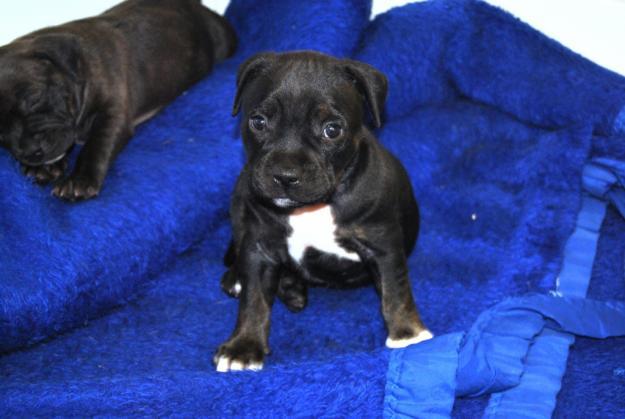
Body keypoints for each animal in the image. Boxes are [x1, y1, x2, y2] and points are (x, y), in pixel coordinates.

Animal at [0, 0, 236, 201]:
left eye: (34, 98)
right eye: (0, 134)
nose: (31, 151)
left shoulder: (112, 113)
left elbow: (97, 145)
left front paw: (79, 180)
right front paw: (44, 168)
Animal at [214, 50, 428, 372]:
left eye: (332, 130)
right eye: (259, 122)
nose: (285, 175)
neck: (311, 207)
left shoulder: (383, 242)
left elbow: (396, 289)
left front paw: (407, 333)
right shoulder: (259, 245)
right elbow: (254, 299)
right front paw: (244, 345)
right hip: (240, 199)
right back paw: (247, 279)